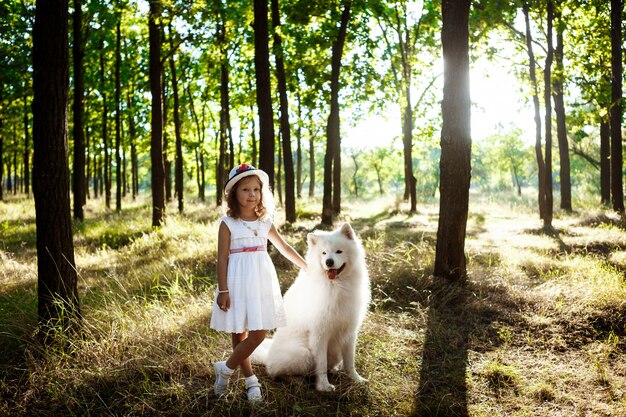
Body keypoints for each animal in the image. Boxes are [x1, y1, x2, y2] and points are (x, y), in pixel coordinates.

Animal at [252, 221, 370, 390]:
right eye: (324, 253)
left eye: (339, 251)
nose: (329, 262)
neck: (336, 285)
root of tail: (267, 357)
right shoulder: (319, 334)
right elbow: (321, 364)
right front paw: (324, 386)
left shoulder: (349, 331)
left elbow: (350, 361)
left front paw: (356, 379)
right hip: (302, 353)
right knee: (276, 372)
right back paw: (297, 381)